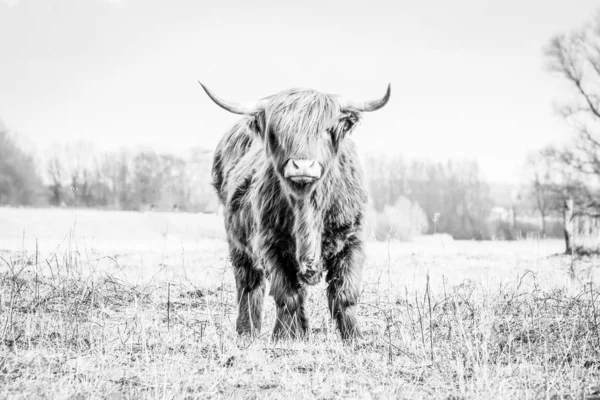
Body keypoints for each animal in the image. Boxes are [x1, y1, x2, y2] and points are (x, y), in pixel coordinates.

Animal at [199, 82, 392, 340]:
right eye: (279, 132)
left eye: (326, 129)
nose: (303, 165)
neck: (307, 206)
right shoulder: (271, 245)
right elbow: (287, 295)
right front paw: (283, 337)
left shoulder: (352, 241)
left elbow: (344, 294)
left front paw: (354, 338)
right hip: (238, 244)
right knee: (249, 284)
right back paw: (247, 331)